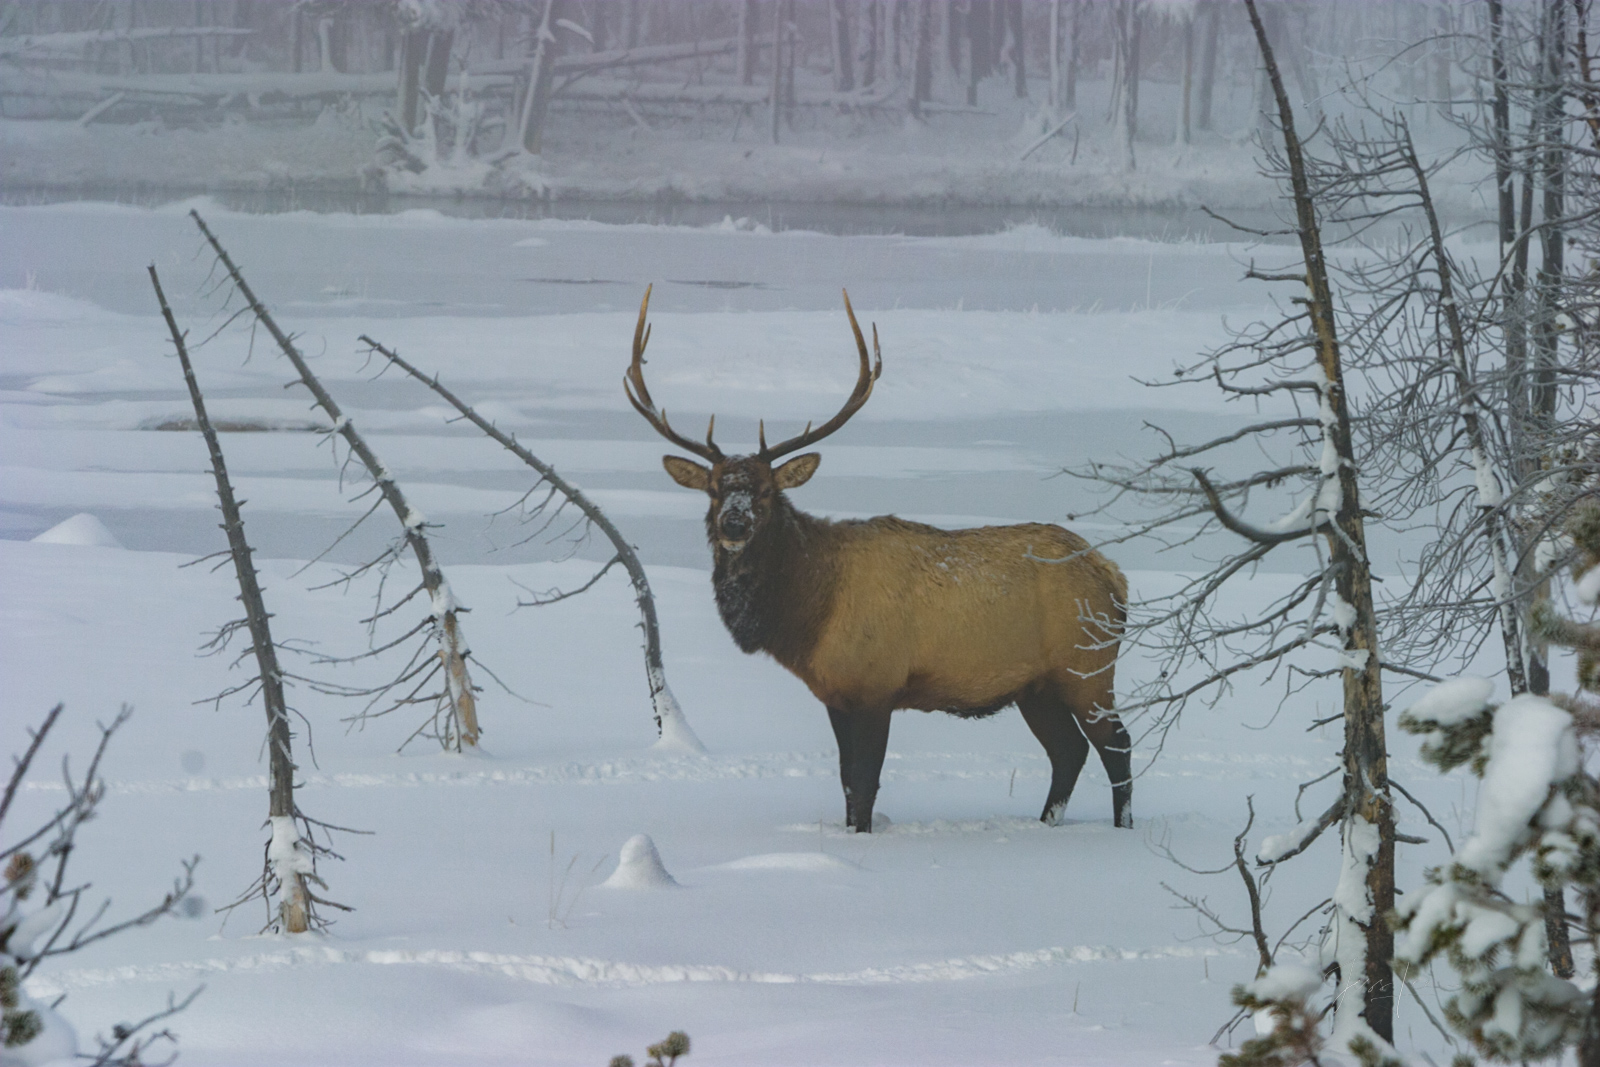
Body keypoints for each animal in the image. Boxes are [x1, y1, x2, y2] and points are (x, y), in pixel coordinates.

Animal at [624, 287, 1139, 831]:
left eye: (765, 491)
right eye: (714, 490)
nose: (734, 525)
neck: (809, 615)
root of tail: (1113, 576)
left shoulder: (876, 685)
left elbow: (866, 783)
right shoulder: (835, 693)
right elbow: (849, 784)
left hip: (1086, 667)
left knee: (1116, 745)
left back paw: (1121, 830)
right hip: (1036, 687)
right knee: (1068, 751)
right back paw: (1046, 824)